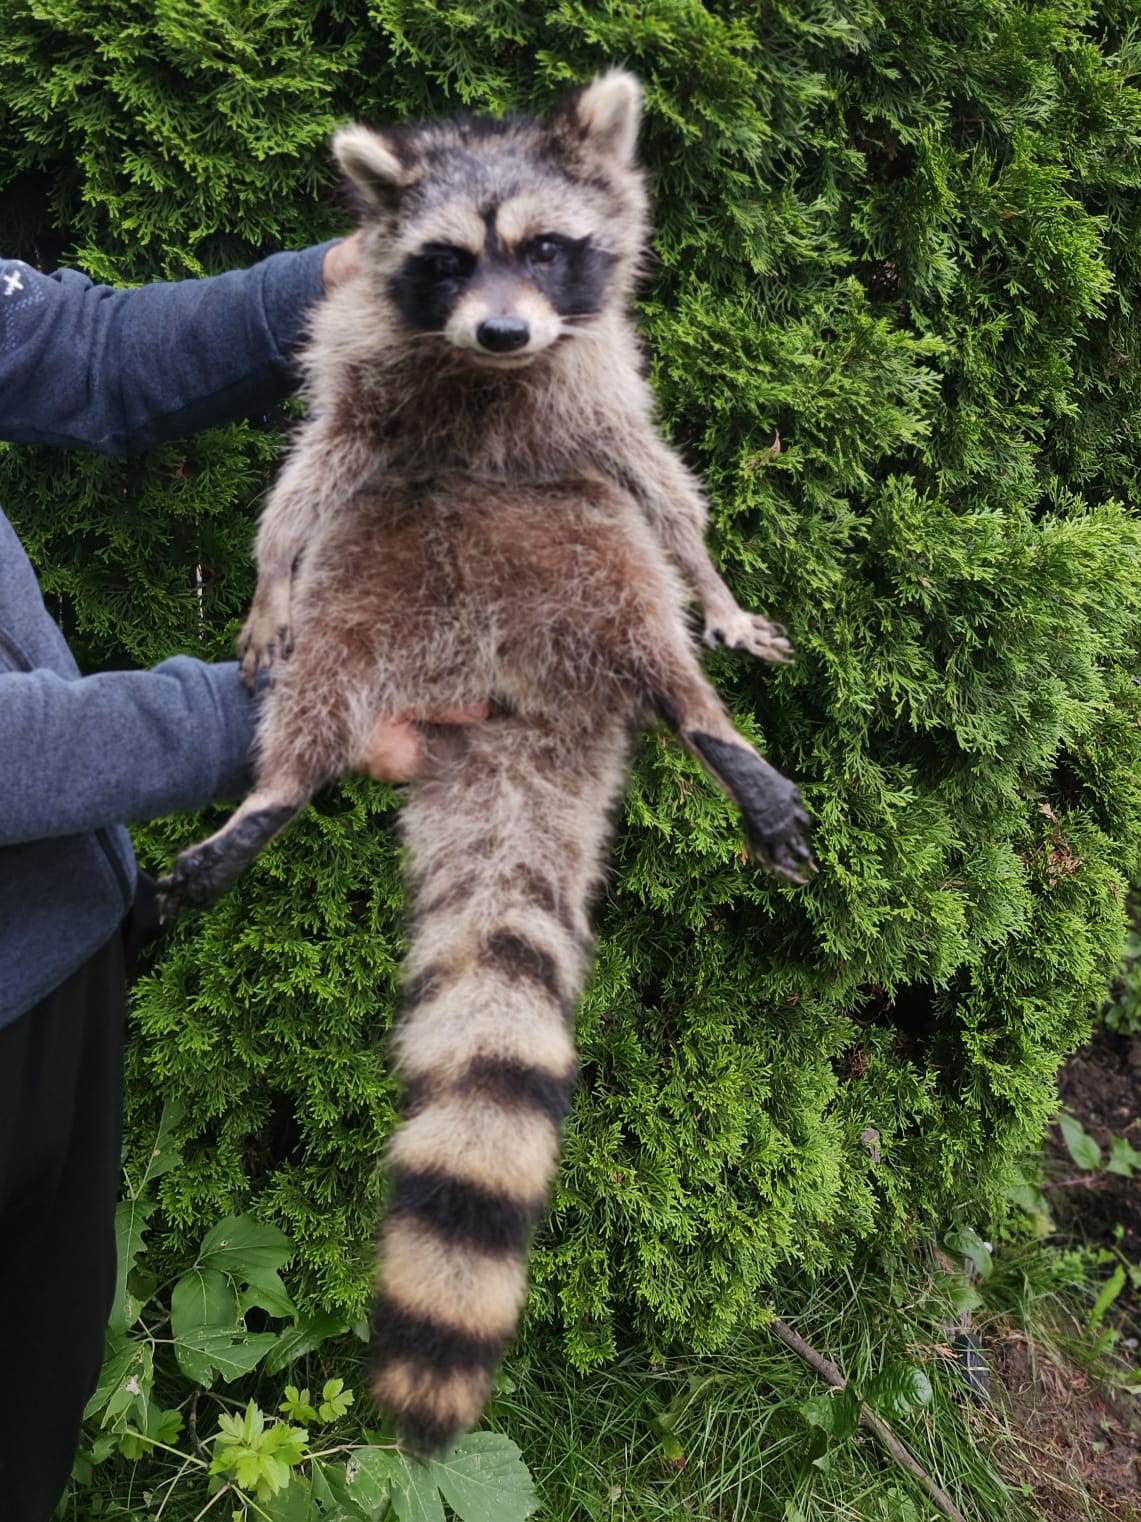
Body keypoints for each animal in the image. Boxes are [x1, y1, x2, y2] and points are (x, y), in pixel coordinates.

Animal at [157, 71, 814, 1452]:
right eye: (451, 260)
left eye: (549, 249)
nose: (506, 333)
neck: (482, 375)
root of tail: (507, 685)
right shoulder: (359, 367)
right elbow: (302, 480)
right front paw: (263, 581)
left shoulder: (600, 389)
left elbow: (669, 493)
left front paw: (722, 597)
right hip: (376, 580)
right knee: (321, 674)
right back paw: (274, 792)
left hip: (579, 552)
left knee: (644, 600)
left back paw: (708, 723)